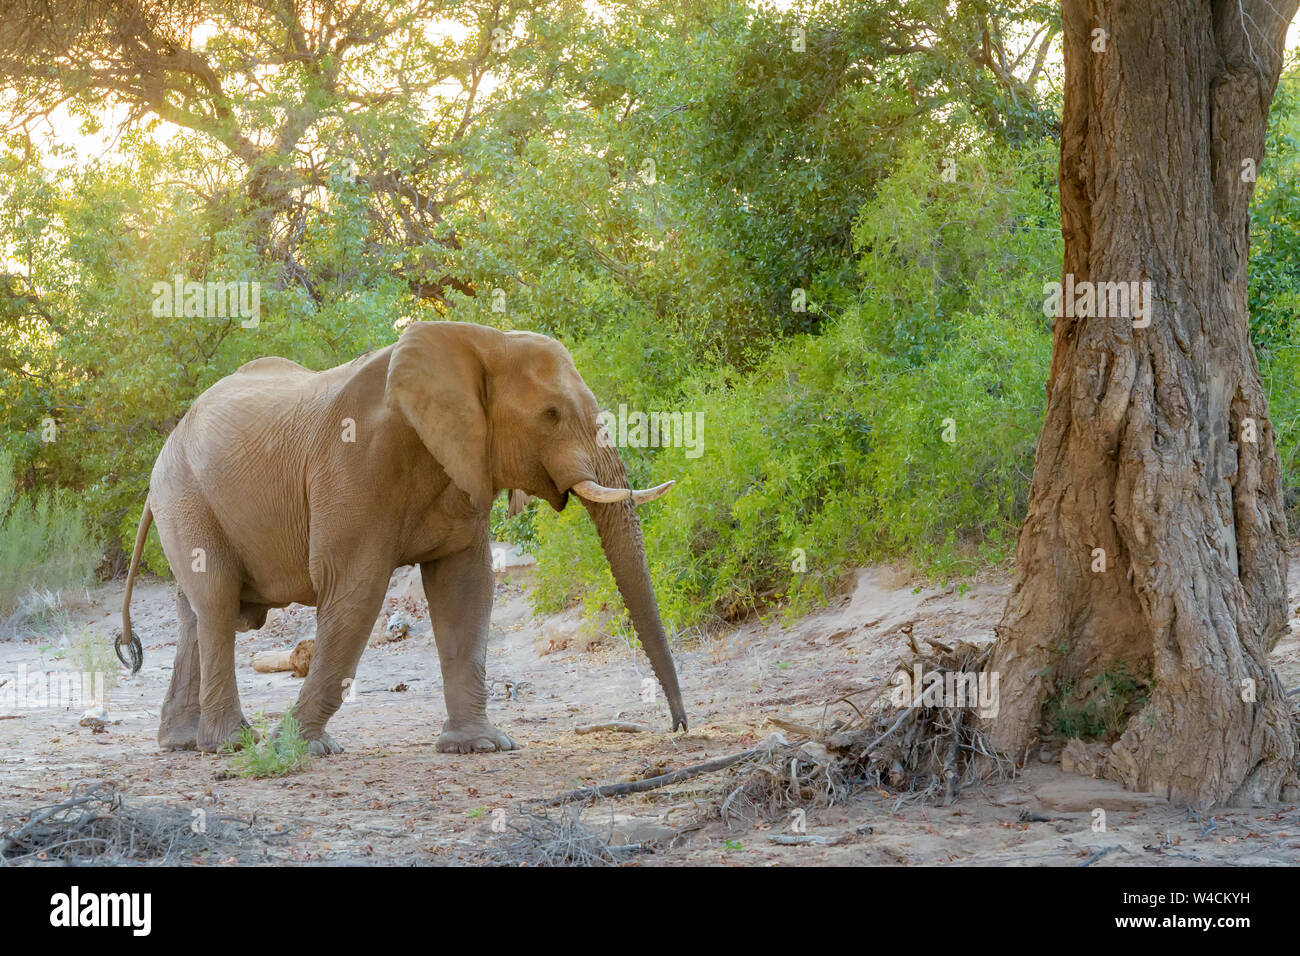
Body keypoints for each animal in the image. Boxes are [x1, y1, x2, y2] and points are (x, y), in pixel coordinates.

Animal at [116, 321, 691, 754]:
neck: (481, 340)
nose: (678, 727)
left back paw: (183, 743)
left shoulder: (464, 465)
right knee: (216, 603)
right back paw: (233, 745)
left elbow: (465, 586)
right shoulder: (354, 462)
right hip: (185, 496)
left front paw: (479, 746)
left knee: (196, 611)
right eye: (550, 415)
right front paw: (299, 749)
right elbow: (355, 592)